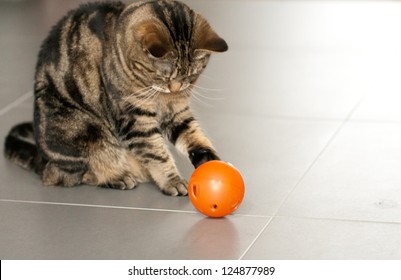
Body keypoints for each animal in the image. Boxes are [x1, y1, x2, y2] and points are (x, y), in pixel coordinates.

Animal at [4, 0, 227, 196]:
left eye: (191, 76)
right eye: (164, 76)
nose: (176, 87)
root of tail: (43, 158)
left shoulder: (176, 111)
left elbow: (196, 138)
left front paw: (214, 164)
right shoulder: (134, 117)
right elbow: (155, 152)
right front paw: (172, 181)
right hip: (86, 132)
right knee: (71, 175)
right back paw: (117, 177)